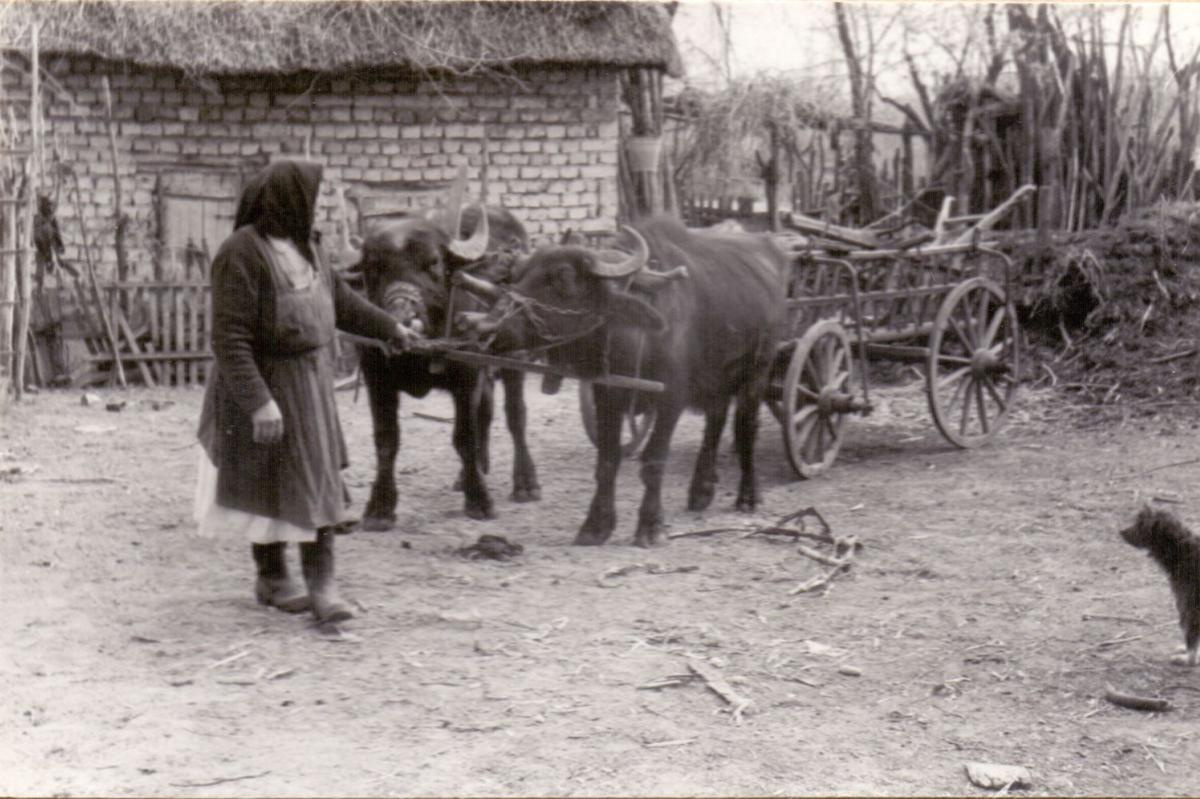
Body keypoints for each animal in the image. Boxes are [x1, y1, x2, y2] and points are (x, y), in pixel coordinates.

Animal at [350, 203, 540, 527]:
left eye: (433, 263)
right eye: (372, 267)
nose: (402, 313)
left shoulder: (466, 377)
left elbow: (463, 437)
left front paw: (479, 500)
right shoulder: (377, 379)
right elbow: (386, 440)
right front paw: (380, 507)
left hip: (515, 354)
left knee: (515, 414)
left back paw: (525, 483)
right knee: (486, 412)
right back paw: (470, 473)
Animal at [456, 214, 787, 544]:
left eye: (564, 278)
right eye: (520, 275)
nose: (485, 327)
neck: (633, 332)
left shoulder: (671, 399)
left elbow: (654, 460)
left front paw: (650, 526)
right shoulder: (607, 394)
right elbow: (607, 459)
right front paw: (596, 525)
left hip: (759, 369)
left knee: (745, 427)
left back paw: (748, 496)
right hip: (716, 375)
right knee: (716, 420)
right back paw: (700, 490)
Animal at [1118, 503, 1200, 667]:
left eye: (1140, 525)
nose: (1121, 531)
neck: (1182, 550)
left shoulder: (1189, 605)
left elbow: (1191, 636)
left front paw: (1189, 659)